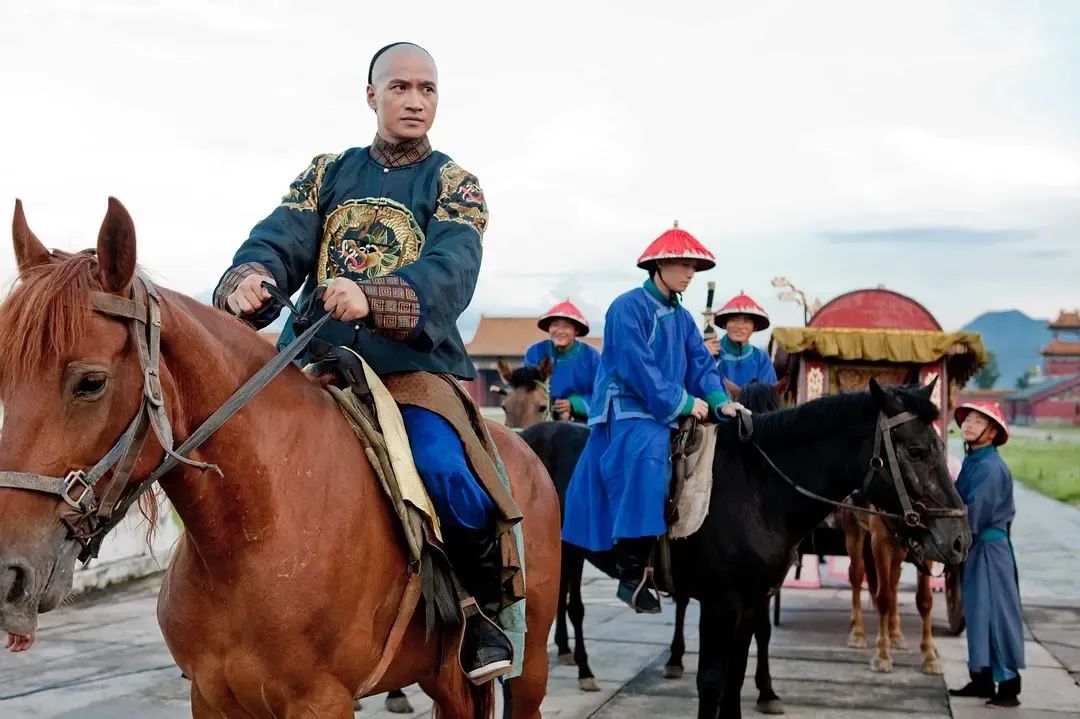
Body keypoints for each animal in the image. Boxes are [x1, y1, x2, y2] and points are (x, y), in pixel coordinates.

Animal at [0, 198, 565, 716]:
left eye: (91, 382)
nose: (8, 575)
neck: (253, 532)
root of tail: (527, 447)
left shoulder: (321, 701)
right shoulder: (211, 696)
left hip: (529, 663)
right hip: (442, 674)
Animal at [838, 503, 941, 673]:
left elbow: (924, 599)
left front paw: (930, 656)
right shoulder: (880, 539)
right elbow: (884, 597)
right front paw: (882, 655)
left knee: (894, 579)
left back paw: (895, 635)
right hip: (852, 523)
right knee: (856, 573)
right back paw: (857, 632)